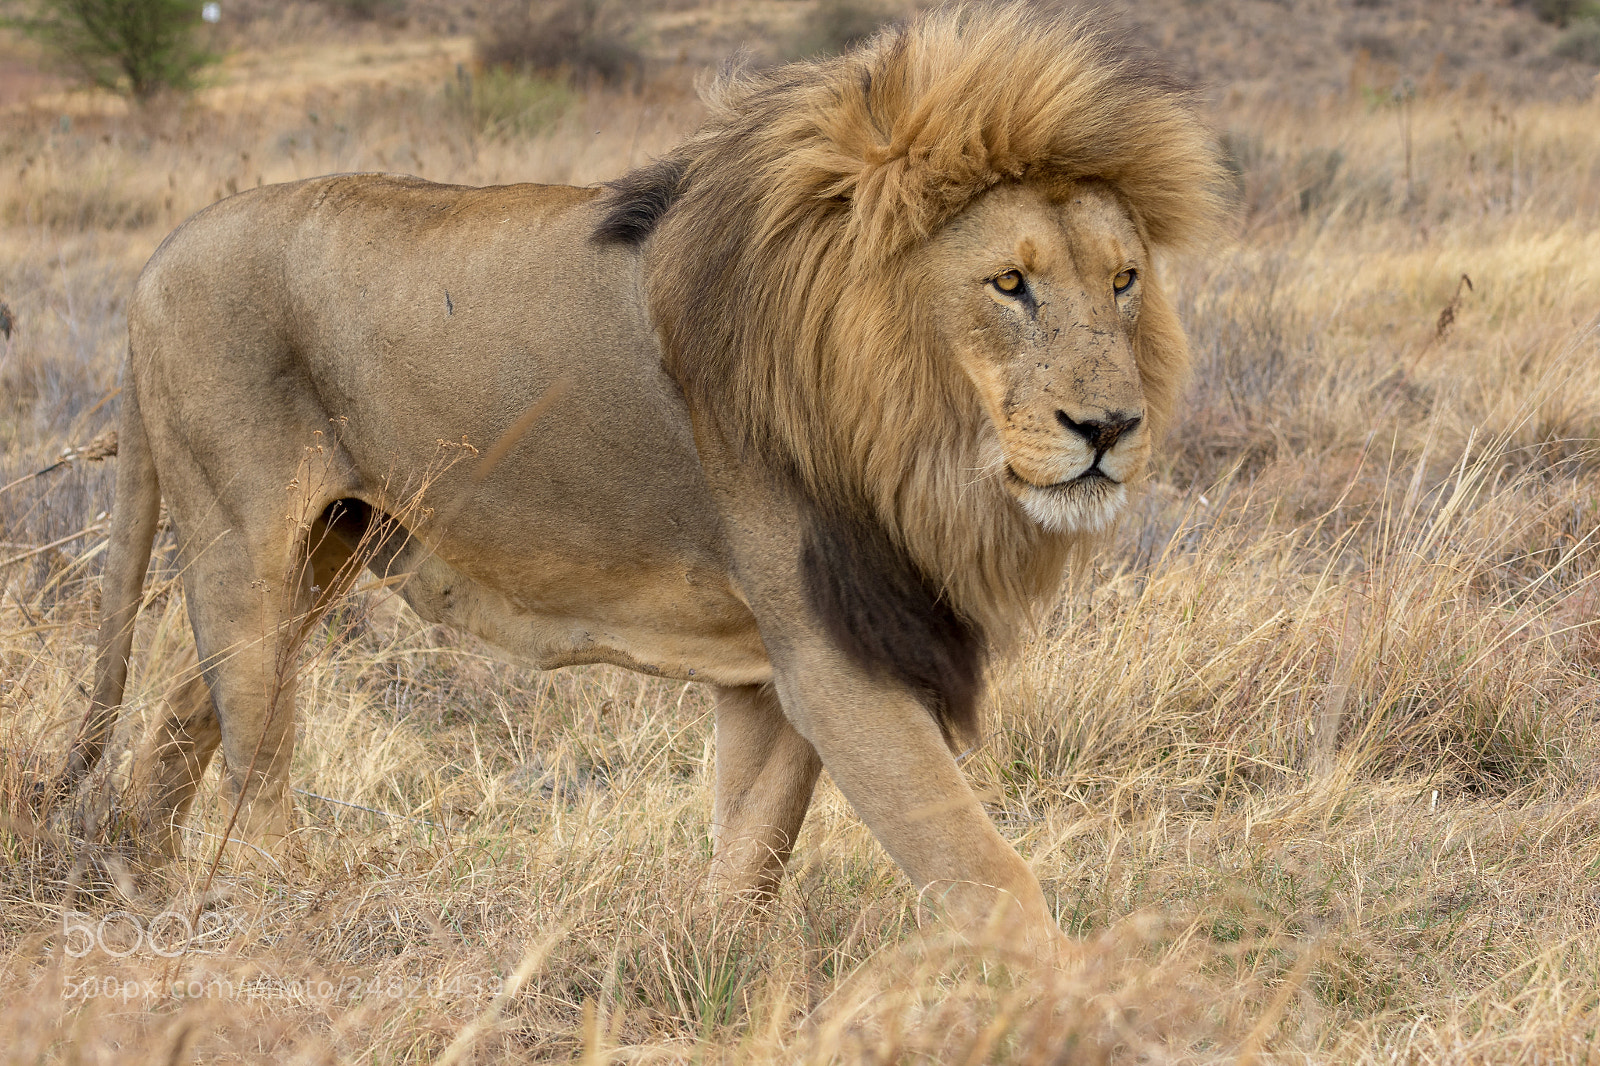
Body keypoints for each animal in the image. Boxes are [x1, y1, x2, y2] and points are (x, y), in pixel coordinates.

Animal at [60, 5, 1223, 954]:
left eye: (1123, 282)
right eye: (1010, 284)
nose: (1110, 427)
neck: (913, 429)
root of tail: (156, 261)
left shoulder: (778, 665)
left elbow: (751, 854)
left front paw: (709, 969)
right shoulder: (833, 651)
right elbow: (985, 874)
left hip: (322, 550)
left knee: (179, 726)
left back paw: (145, 888)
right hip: (244, 545)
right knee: (255, 764)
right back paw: (289, 916)